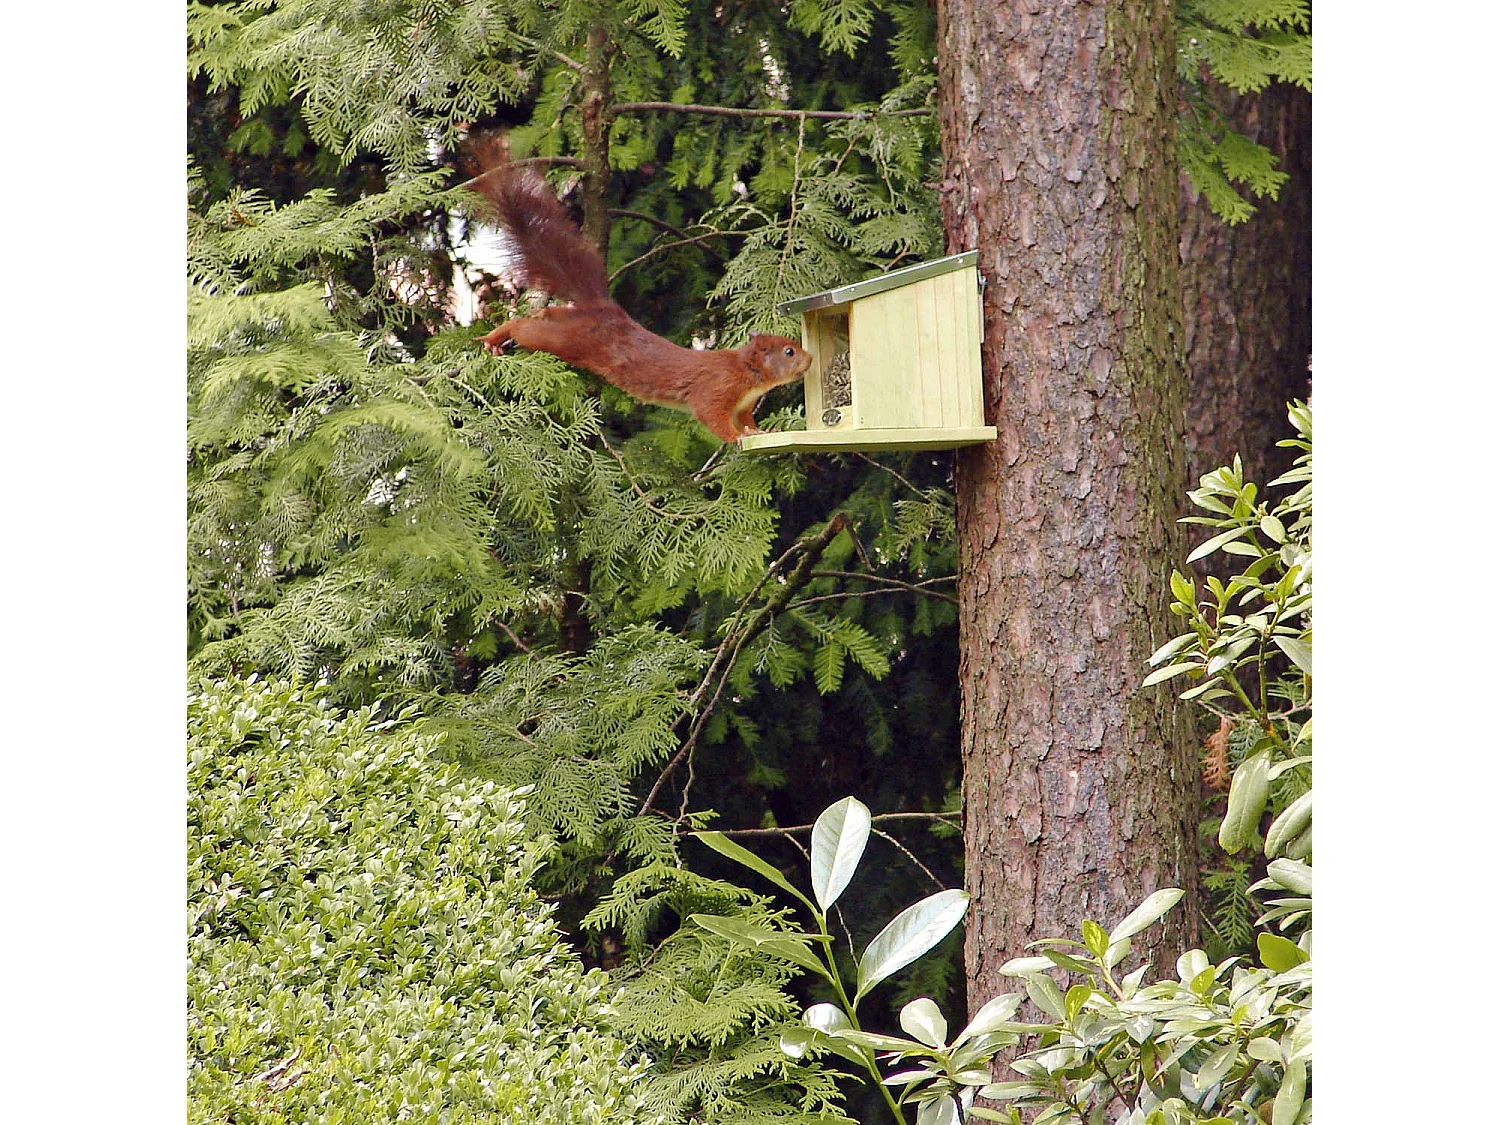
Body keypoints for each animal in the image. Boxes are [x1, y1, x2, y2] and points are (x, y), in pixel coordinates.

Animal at [465, 156, 811, 445]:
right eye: (789, 351)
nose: (809, 360)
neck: (749, 373)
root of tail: (604, 309)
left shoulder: (743, 406)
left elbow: (748, 421)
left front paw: (759, 432)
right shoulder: (717, 389)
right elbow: (712, 416)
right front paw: (736, 437)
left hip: (564, 323)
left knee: (543, 317)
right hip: (566, 339)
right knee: (524, 329)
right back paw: (496, 336)